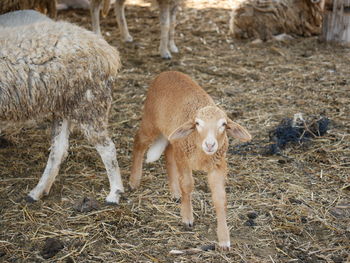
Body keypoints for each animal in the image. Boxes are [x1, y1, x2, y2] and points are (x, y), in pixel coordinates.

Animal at [0, 10, 124, 204]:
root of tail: (108, 52)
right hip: (64, 105)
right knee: (59, 150)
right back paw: (38, 191)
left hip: (89, 103)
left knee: (107, 148)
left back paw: (115, 193)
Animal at [129, 71, 252, 251]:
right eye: (197, 123)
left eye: (223, 124)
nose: (210, 144)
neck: (202, 154)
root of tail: (167, 72)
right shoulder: (183, 159)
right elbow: (187, 185)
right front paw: (187, 217)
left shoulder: (217, 165)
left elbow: (219, 197)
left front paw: (224, 239)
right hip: (151, 121)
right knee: (138, 141)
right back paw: (134, 181)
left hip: (173, 136)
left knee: (168, 153)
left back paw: (175, 192)